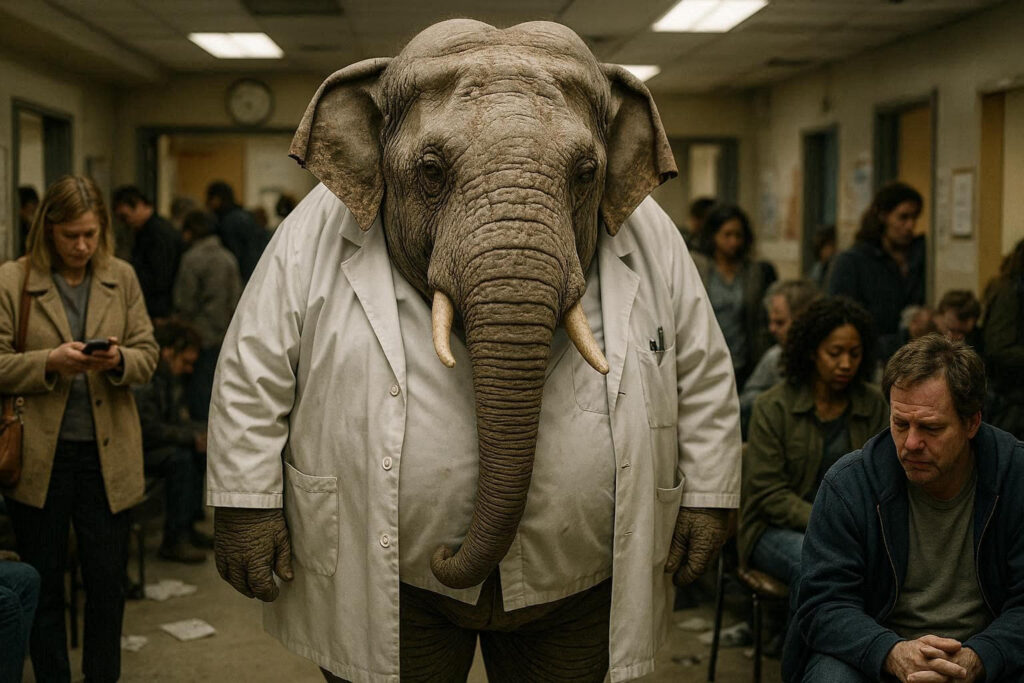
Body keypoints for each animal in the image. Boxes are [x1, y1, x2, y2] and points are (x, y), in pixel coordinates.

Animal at [209, 17, 740, 681]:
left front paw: (698, 542)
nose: (443, 553)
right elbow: (257, 366)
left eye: (586, 173)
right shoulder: (293, 243)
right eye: (431, 170)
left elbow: (704, 365)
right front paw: (253, 561)